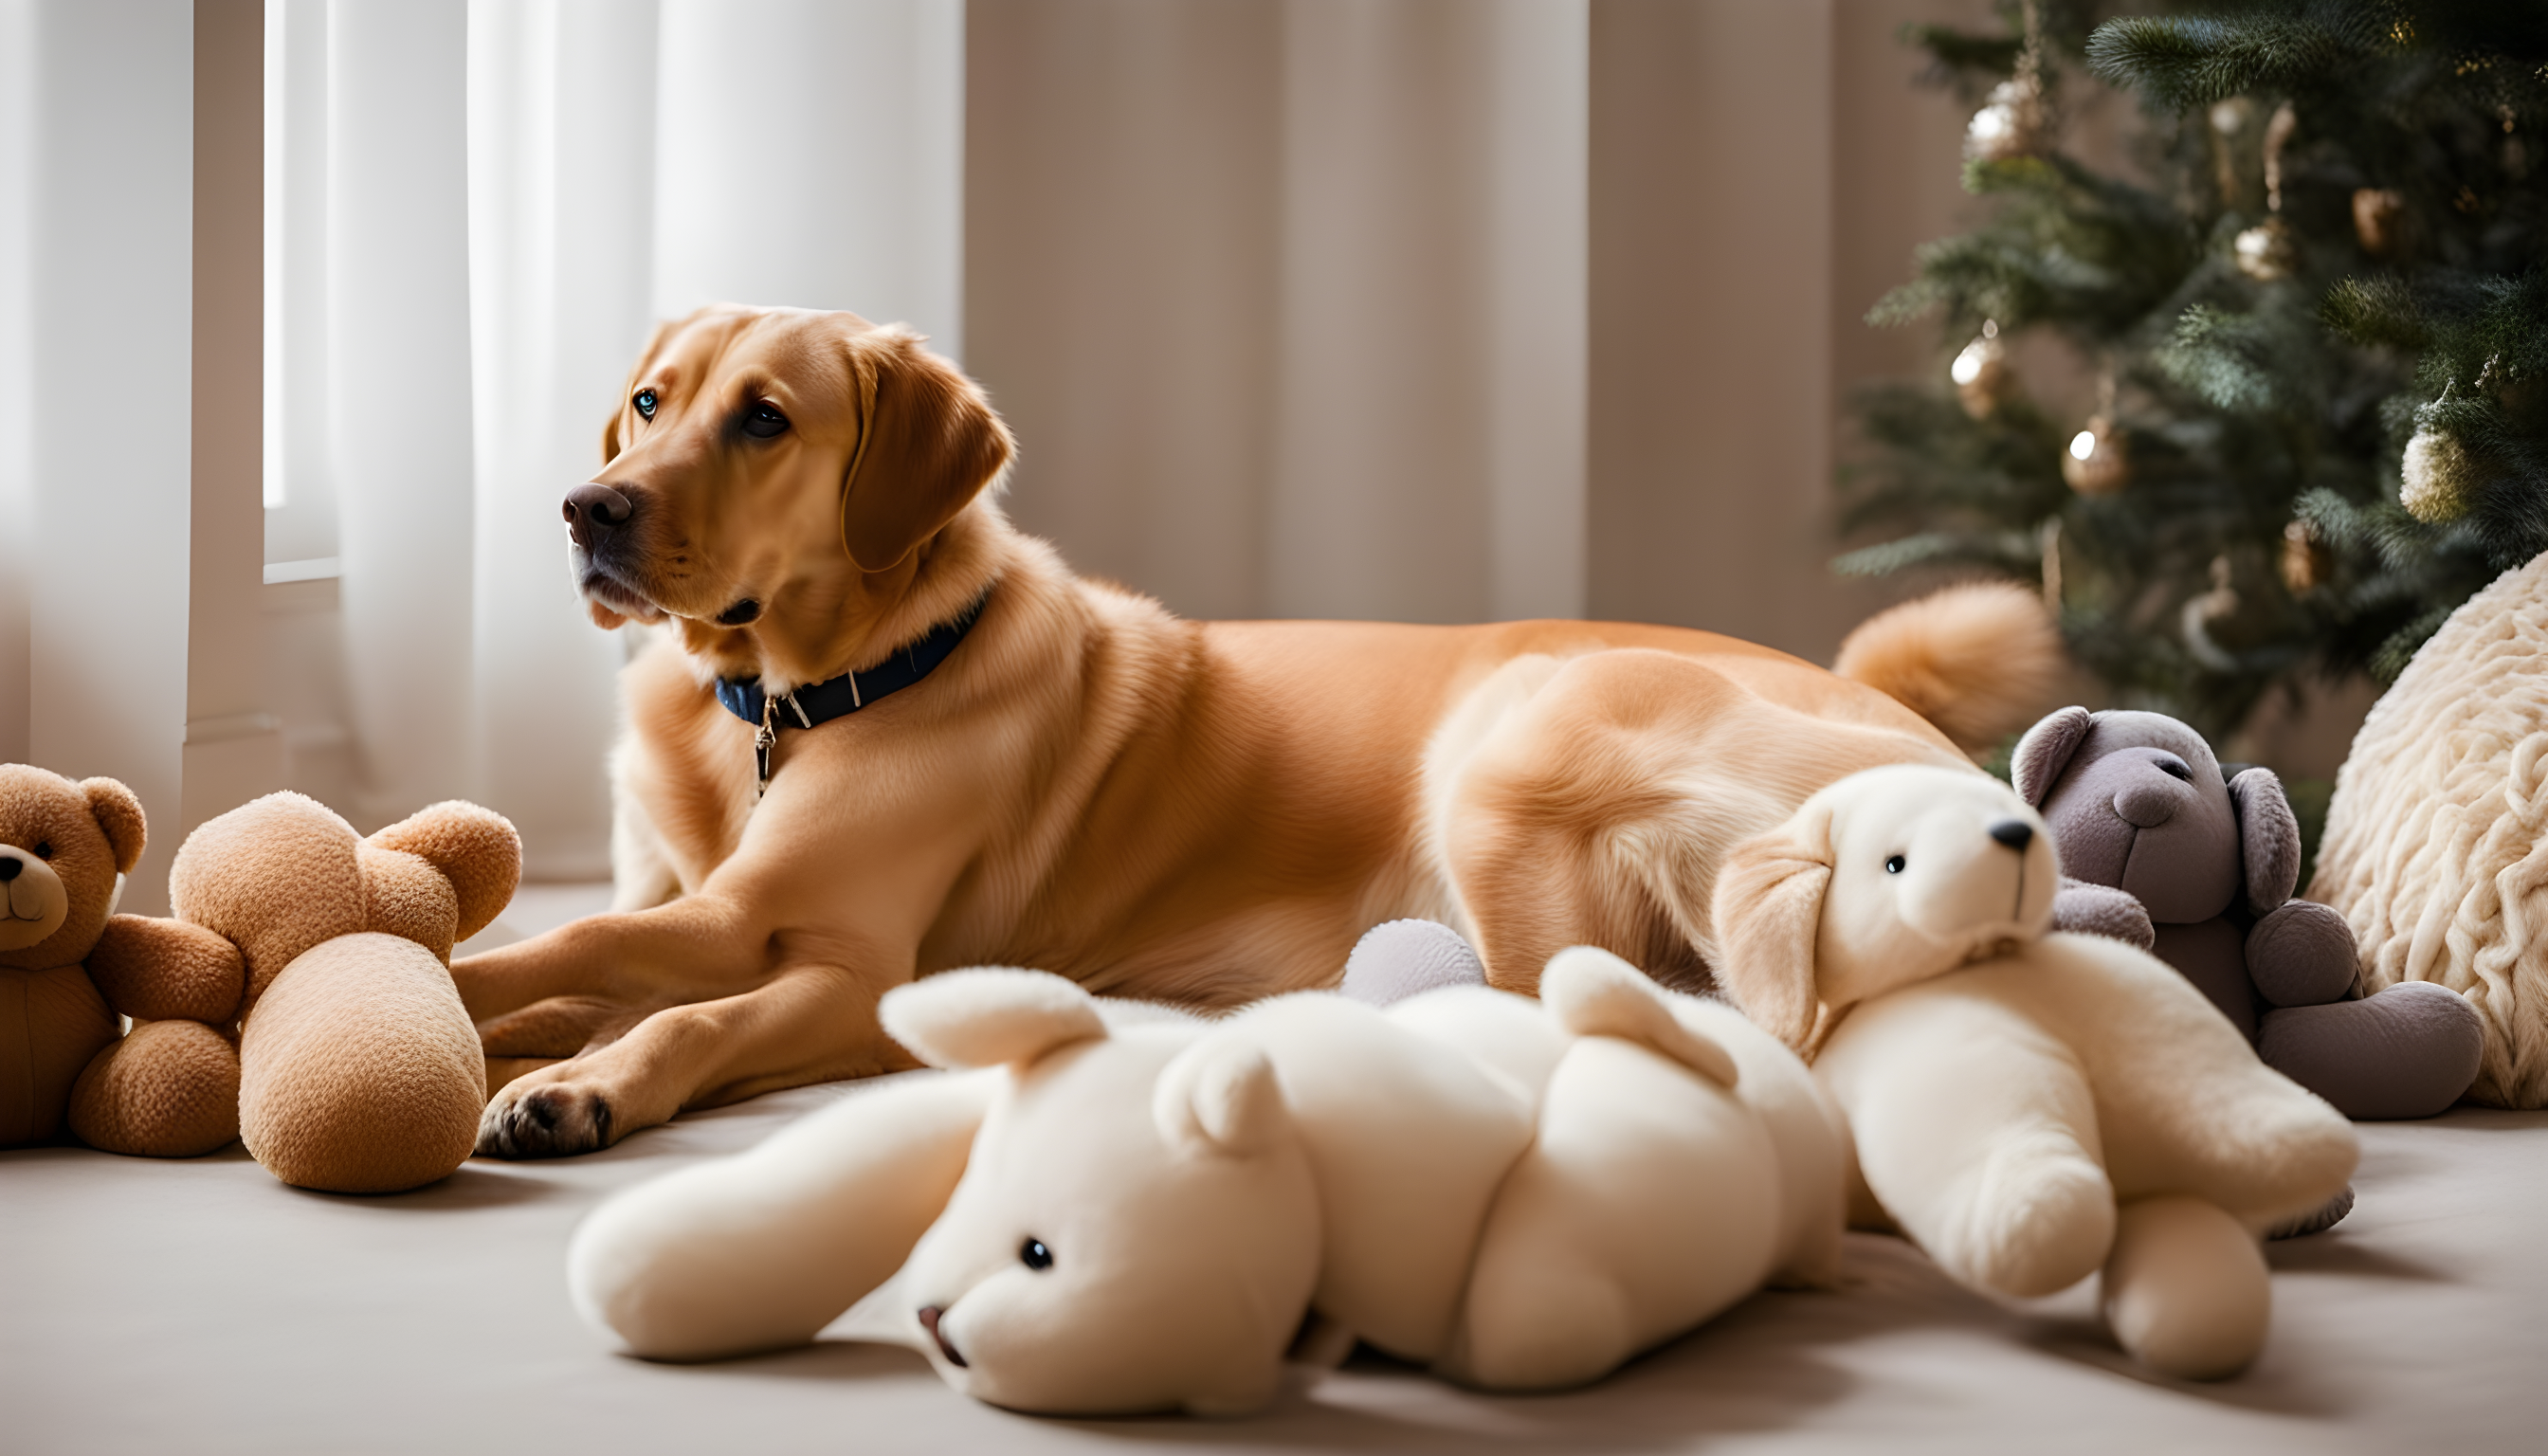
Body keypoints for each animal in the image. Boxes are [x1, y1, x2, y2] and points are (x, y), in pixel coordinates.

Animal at [453, 311, 2048, 1162]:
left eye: (765, 420)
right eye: (648, 404)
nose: (587, 511)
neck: (791, 699)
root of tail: (1927, 748)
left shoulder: (847, 969)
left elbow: (640, 981)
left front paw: (558, 1064)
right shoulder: (704, 901)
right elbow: (588, 959)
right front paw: (502, 1023)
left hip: (1506, 754)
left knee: (1568, 1019)